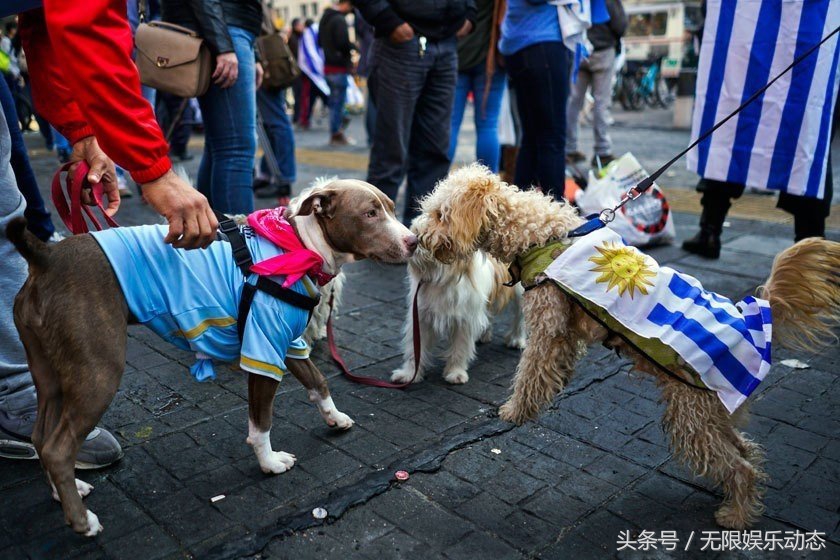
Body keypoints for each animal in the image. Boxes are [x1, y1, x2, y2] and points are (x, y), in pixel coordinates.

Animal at [4, 182, 416, 536]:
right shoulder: (262, 347)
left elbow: (318, 381)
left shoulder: (288, 343)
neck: (299, 246)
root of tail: (46, 257)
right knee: (59, 448)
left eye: (392, 208)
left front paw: (334, 418)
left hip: (50, 374)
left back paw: (65, 490)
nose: (413, 240)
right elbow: (261, 422)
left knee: (42, 439)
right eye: (369, 214)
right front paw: (269, 463)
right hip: (97, 372)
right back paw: (81, 519)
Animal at [420, 165, 840, 528]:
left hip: (690, 416)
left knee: (741, 467)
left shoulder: (548, 328)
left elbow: (530, 373)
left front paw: (514, 412)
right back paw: (740, 499)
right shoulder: (565, 332)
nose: (419, 239)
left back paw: (735, 515)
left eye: (441, 214)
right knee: (744, 451)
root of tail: (750, 320)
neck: (540, 233)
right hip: (711, 412)